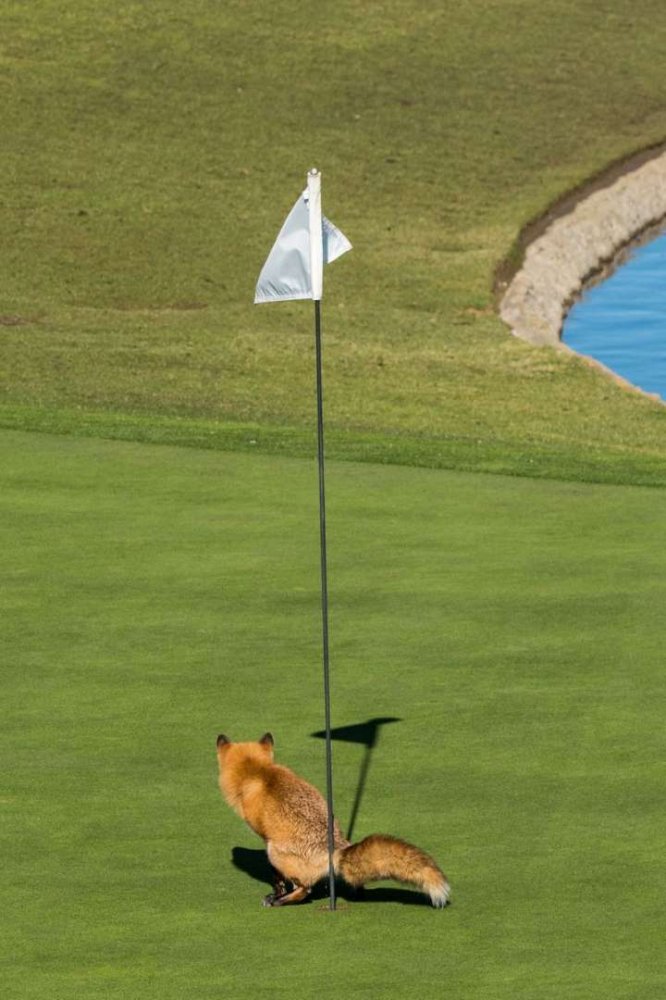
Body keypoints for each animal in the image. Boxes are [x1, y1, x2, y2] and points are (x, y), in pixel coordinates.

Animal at [216, 731, 450, 908]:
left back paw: (281, 901)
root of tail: (336, 850)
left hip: (276, 853)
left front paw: (277, 892)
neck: (259, 772)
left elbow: (276, 877)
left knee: (305, 890)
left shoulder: (267, 840)